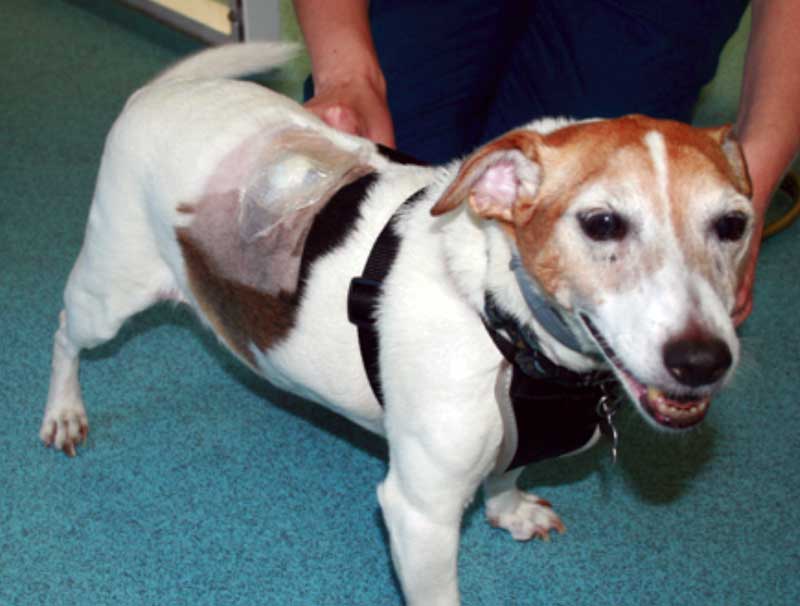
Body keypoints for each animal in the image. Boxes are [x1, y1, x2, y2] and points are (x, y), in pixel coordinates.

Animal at [40, 44, 756, 606]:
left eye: (735, 224)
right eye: (602, 223)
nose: (703, 360)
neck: (501, 324)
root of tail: (164, 90)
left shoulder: (509, 445)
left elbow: (508, 474)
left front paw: (509, 511)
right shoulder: (420, 515)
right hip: (110, 291)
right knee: (65, 330)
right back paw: (64, 410)